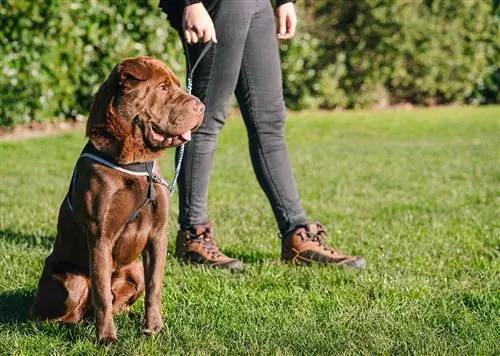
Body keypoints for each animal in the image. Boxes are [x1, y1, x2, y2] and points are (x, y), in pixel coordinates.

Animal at [31, 57, 204, 344]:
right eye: (163, 88)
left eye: (177, 85)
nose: (201, 106)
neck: (134, 161)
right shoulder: (100, 238)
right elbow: (102, 294)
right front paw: (107, 339)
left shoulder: (158, 234)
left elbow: (154, 286)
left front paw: (154, 328)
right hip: (69, 282)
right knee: (56, 309)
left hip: (133, 271)